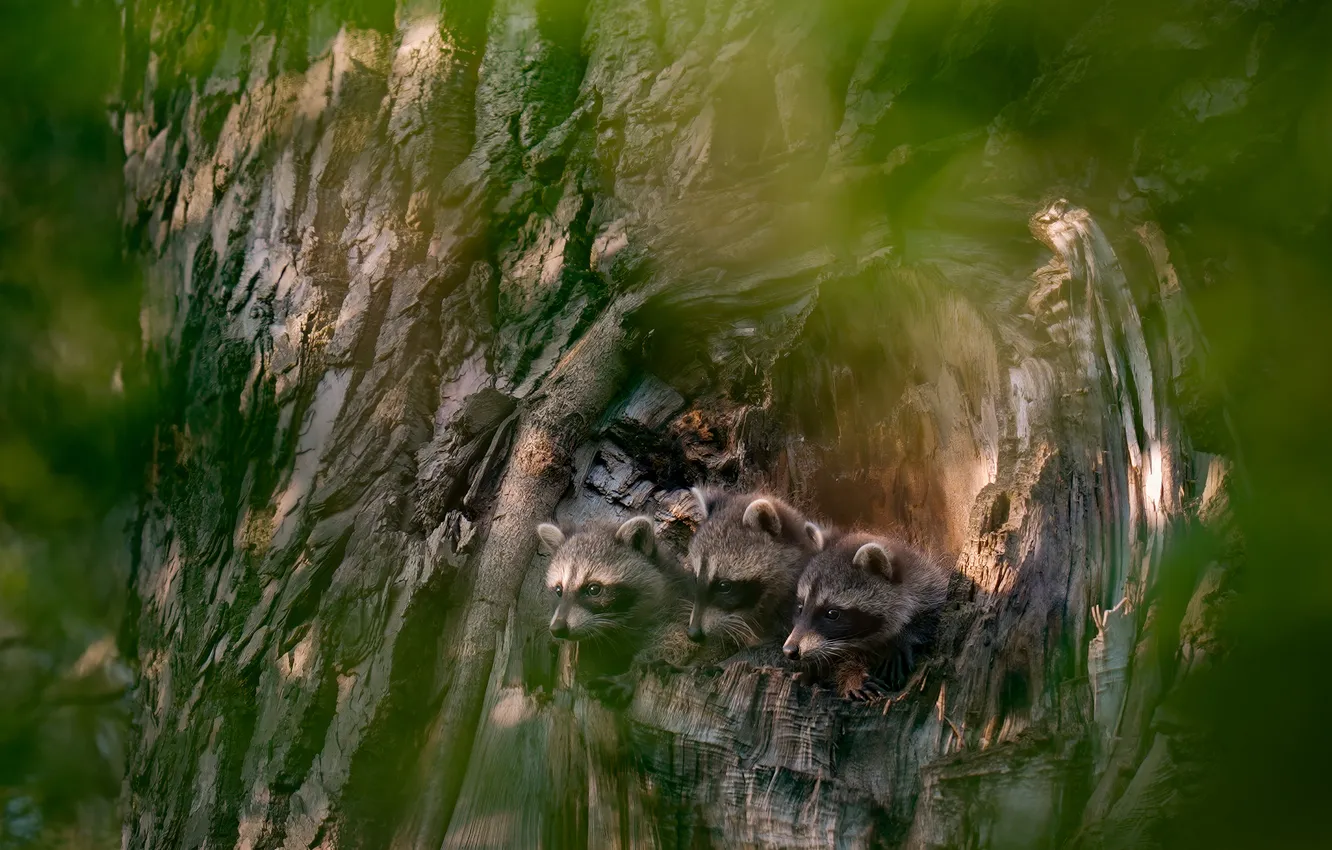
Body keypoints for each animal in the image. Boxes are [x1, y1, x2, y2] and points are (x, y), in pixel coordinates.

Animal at [783, 532, 949, 700]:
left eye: (832, 613)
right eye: (800, 608)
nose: (789, 650)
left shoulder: (930, 583)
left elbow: (934, 616)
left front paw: (903, 638)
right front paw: (852, 676)